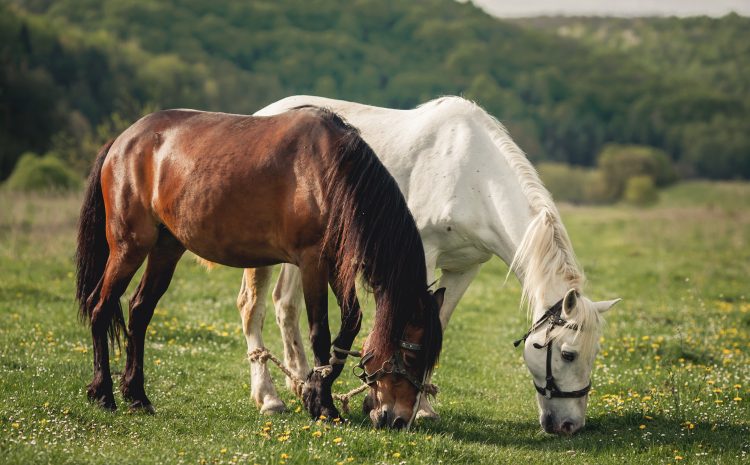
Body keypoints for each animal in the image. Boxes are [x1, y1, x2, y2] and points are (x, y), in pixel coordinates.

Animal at [73, 106, 444, 428]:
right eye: (412, 357)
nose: (399, 420)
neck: (331, 173)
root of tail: (122, 141)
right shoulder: (312, 263)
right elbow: (320, 333)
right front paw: (323, 405)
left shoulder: (337, 265)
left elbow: (350, 324)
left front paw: (314, 391)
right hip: (129, 247)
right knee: (101, 307)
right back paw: (103, 393)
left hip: (166, 249)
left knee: (139, 312)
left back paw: (137, 396)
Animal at [241, 95, 624, 436]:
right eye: (568, 354)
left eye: (594, 354)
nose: (569, 426)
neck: (474, 177)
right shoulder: (421, 256)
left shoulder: (465, 268)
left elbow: (438, 320)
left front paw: (420, 405)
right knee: (253, 307)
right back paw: (269, 397)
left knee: (285, 305)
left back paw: (302, 382)